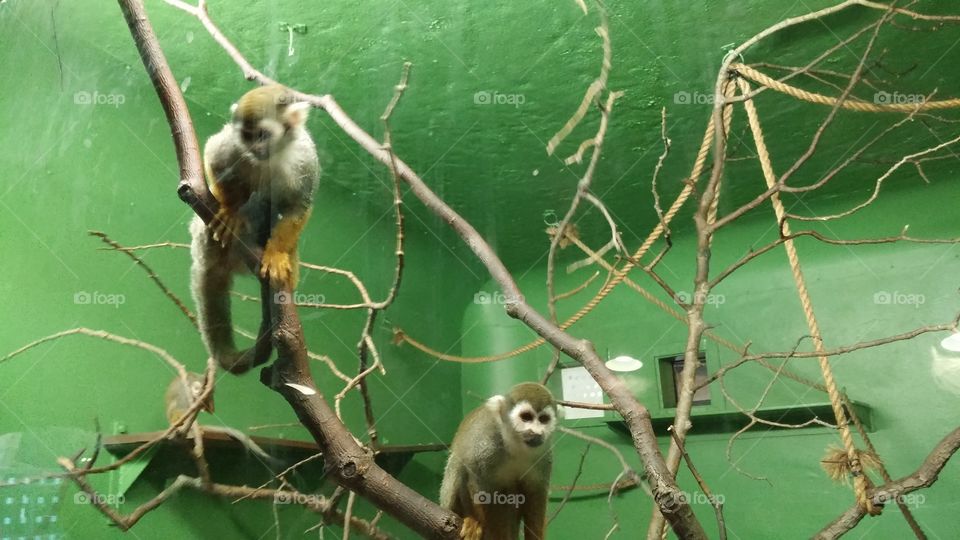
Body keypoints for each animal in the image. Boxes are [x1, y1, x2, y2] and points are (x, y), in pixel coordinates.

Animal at [190, 84, 319, 374]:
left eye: (262, 135)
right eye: (246, 136)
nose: (254, 148)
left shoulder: (305, 159)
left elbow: (299, 206)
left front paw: (277, 254)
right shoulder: (232, 144)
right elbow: (214, 155)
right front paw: (229, 210)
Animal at [440, 383, 558, 540]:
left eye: (544, 419)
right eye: (526, 417)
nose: (537, 432)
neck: (515, 445)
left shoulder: (544, 454)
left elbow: (536, 492)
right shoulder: (486, 447)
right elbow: (479, 483)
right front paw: (490, 530)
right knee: (458, 464)